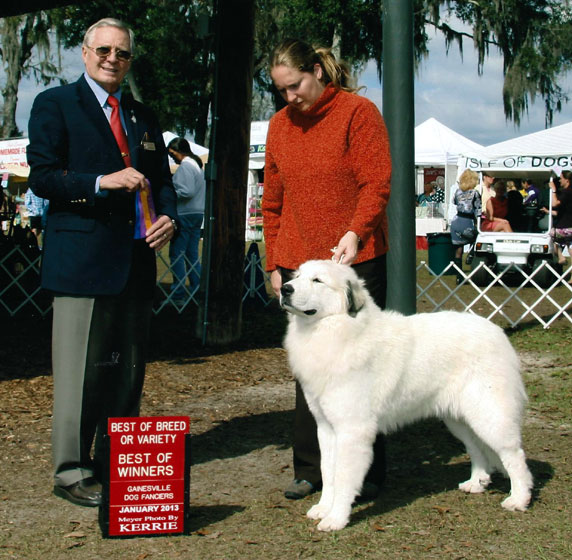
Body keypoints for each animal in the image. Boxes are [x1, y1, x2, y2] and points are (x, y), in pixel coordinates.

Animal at [280, 260, 536, 532]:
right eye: (297, 276)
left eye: (317, 280)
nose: (285, 289)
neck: (338, 328)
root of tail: (497, 332)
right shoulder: (326, 428)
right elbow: (328, 472)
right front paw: (323, 508)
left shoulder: (352, 430)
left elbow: (343, 477)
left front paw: (336, 518)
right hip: (459, 418)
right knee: (476, 448)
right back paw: (476, 483)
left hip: (489, 413)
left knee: (514, 455)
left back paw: (519, 499)